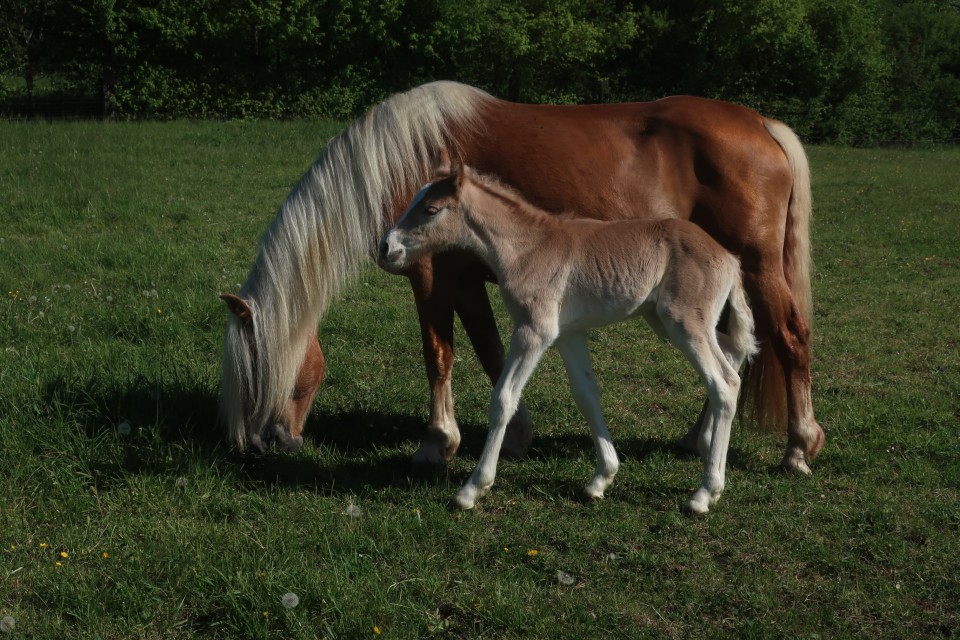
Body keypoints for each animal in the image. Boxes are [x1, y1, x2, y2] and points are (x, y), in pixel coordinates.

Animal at [218, 81, 824, 474]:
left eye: (252, 372)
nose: (259, 445)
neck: (405, 160)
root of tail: (760, 124)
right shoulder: (469, 283)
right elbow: (488, 353)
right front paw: (515, 437)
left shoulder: (430, 276)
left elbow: (438, 353)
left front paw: (437, 443)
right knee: (730, 350)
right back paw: (701, 438)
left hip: (756, 269)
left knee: (787, 339)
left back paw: (799, 446)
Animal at [378, 162, 759, 512]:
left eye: (431, 209)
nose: (386, 248)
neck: (526, 248)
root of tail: (729, 257)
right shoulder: (568, 333)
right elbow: (586, 395)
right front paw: (601, 478)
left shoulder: (534, 330)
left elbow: (503, 398)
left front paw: (473, 489)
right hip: (668, 320)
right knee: (733, 353)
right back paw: (708, 445)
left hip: (683, 322)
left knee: (724, 382)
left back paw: (705, 492)